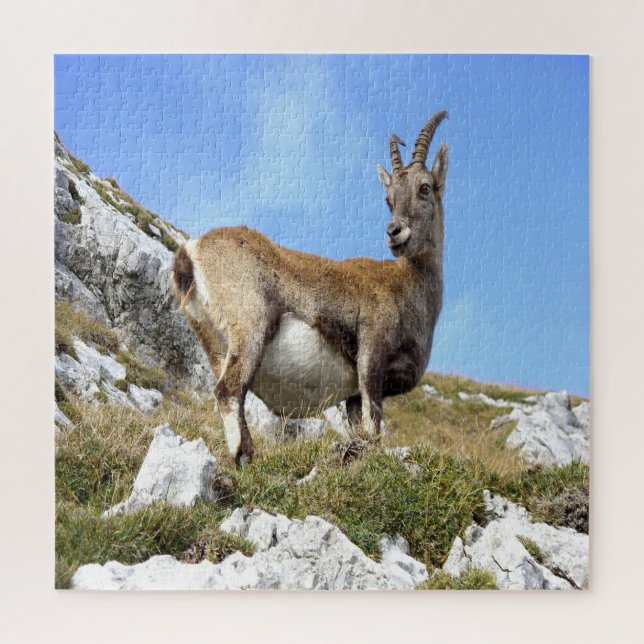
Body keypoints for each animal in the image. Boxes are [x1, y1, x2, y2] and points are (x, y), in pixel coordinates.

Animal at [173, 111, 448, 465]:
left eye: (424, 188)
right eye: (389, 199)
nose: (395, 232)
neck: (408, 287)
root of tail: (193, 251)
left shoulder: (353, 394)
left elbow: (359, 427)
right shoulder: (371, 355)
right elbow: (373, 424)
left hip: (214, 343)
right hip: (251, 326)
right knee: (229, 389)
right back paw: (245, 456)